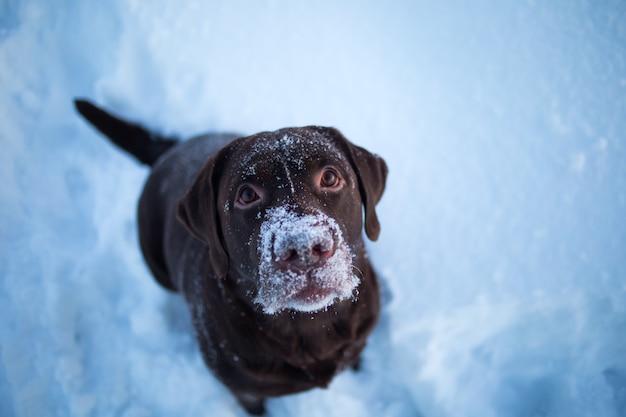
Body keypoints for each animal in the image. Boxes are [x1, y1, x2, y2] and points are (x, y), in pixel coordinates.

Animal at [73, 98, 386, 412]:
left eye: (330, 177)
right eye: (247, 195)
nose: (304, 247)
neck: (307, 326)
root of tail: (172, 148)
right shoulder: (243, 389)